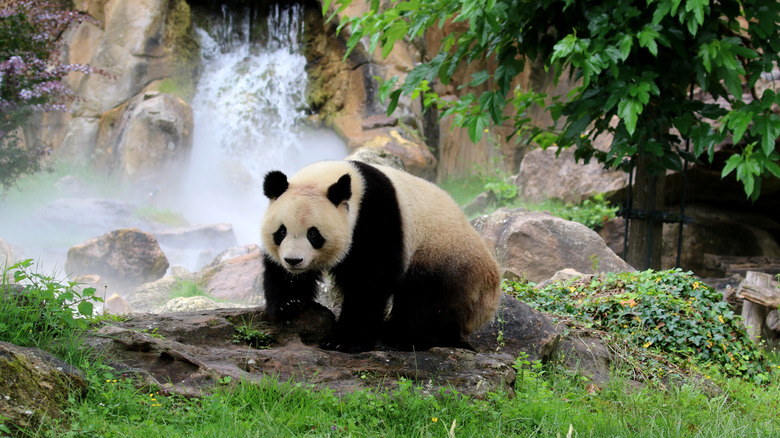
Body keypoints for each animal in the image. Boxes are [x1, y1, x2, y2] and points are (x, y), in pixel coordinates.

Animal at [260, 160, 500, 352]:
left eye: (313, 233)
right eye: (281, 231)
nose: (293, 261)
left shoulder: (376, 217)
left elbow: (370, 280)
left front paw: (343, 341)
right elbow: (278, 271)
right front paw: (289, 303)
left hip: (445, 259)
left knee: (426, 303)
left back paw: (400, 335)